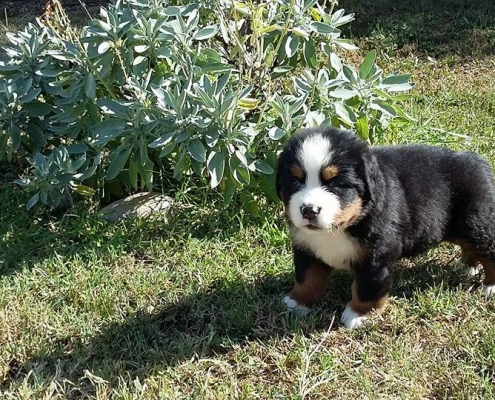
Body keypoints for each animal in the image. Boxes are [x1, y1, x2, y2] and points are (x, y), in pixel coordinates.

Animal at [276, 127, 495, 328]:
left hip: (477, 223)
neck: (340, 228)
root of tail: (477, 160)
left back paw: (489, 286)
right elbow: (307, 277)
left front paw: (359, 315)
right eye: (294, 180)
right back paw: (468, 266)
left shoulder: (377, 255)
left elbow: (368, 286)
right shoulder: (306, 248)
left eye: (335, 184)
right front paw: (297, 302)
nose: (309, 210)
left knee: (488, 250)